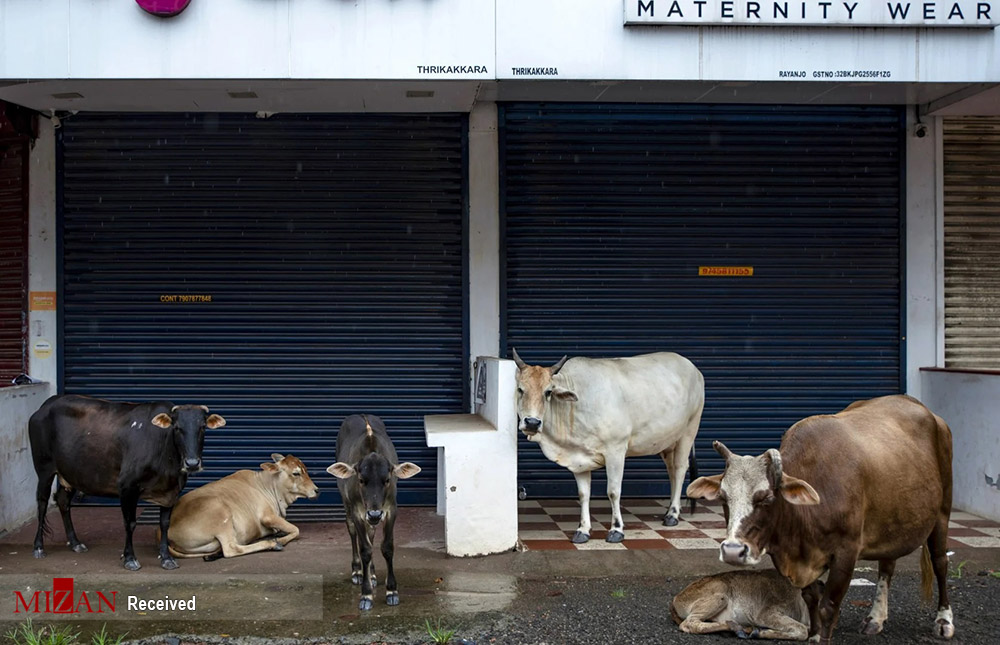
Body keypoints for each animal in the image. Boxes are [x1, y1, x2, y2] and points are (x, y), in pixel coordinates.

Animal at [29, 392, 227, 568]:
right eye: (177, 427)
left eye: (202, 427)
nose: (192, 463)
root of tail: (46, 405)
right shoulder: (127, 486)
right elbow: (130, 523)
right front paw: (130, 558)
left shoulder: (171, 491)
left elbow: (165, 524)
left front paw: (166, 558)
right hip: (44, 469)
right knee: (42, 502)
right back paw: (38, 547)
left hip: (71, 475)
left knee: (63, 501)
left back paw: (75, 542)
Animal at [166, 452, 318, 560]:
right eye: (296, 473)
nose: (317, 490)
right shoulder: (267, 516)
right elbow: (296, 529)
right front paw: (279, 540)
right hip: (221, 514)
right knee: (231, 549)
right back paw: (271, 544)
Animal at [326, 412, 420, 608]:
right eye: (361, 480)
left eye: (387, 480)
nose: (375, 513)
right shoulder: (358, 511)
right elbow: (365, 550)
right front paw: (366, 594)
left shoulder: (391, 509)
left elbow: (387, 547)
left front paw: (391, 590)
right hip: (347, 504)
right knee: (353, 532)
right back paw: (357, 571)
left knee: (371, 534)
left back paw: (373, 573)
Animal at [512, 350, 708, 540]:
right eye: (520, 389)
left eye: (548, 392)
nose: (532, 422)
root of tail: (691, 366)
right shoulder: (578, 458)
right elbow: (583, 494)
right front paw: (583, 529)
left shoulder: (616, 450)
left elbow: (613, 491)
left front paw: (616, 529)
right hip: (667, 442)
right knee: (672, 471)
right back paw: (670, 509)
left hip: (689, 430)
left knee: (680, 468)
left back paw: (673, 514)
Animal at [688, 394, 952, 640]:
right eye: (724, 498)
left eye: (767, 498)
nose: (733, 551)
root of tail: (927, 411)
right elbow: (811, 598)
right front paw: (813, 634)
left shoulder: (846, 553)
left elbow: (827, 607)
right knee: (887, 566)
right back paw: (876, 618)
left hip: (942, 514)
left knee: (940, 562)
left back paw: (944, 621)